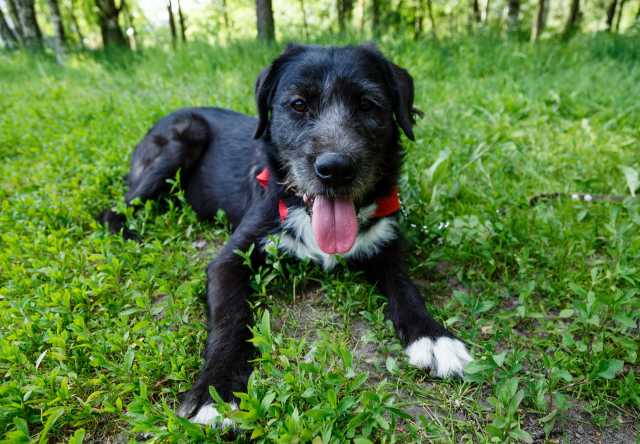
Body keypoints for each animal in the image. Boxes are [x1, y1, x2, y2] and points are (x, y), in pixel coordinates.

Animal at [102, 43, 472, 424]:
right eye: (298, 104)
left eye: (368, 104)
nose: (335, 169)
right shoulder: (229, 260)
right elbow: (231, 317)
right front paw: (217, 389)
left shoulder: (386, 246)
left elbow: (406, 288)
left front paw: (434, 337)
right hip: (183, 137)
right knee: (114, 209)